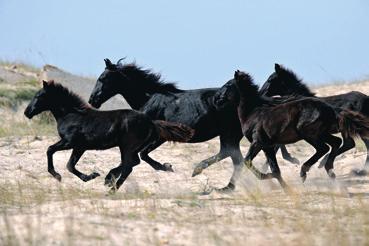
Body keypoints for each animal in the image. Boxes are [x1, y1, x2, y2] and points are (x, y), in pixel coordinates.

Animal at [23, 80, 193, 191]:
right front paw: (91, 176)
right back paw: (110, 181)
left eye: (38, 96)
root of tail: (150, 121)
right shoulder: (80, 147)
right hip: (131, 147)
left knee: (129, 166)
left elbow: (52, 151)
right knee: (133, 162)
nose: (27, 112)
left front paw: (59, 175)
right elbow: (70, 165)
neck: (72, 115)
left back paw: (111, 188)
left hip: (126, 146)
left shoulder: (69, 142)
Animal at [213, 70, 368, 185]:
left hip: (309, 133)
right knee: (337, 143)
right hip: (322, 133)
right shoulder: (268, 144)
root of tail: (332, 109)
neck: (253, 112)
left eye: (228, 85)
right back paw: (328, 168)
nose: (216, 100)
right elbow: (274, 165)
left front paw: (268, 175)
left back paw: (306, 171)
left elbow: (248, 160)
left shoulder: (258, 142)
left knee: (325, 148)